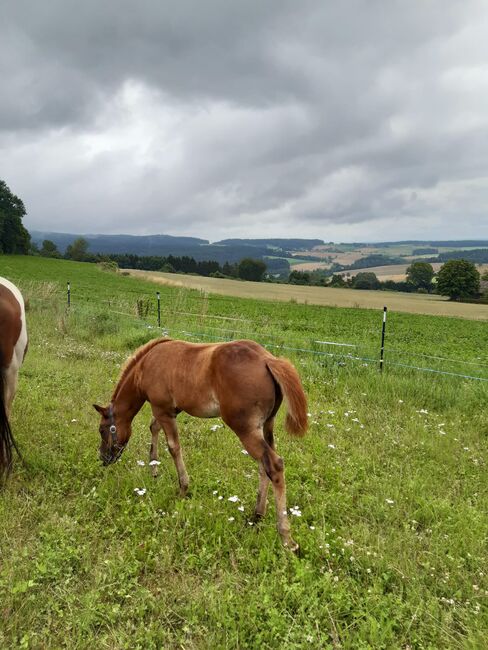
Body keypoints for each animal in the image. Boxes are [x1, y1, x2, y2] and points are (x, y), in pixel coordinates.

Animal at [95, 336, 306, 548]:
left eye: (102, 430)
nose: (103, 458)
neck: (146, 365)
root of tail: (267, 359)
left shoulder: (162, 409)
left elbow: (173, 447)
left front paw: (183, 489)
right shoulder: (169, 410)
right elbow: (154, 428)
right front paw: (153, 468)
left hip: (245, 428)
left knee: (274, 464)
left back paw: (286, 538)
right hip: (267, 425)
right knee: (264, 466)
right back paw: (257, 516)